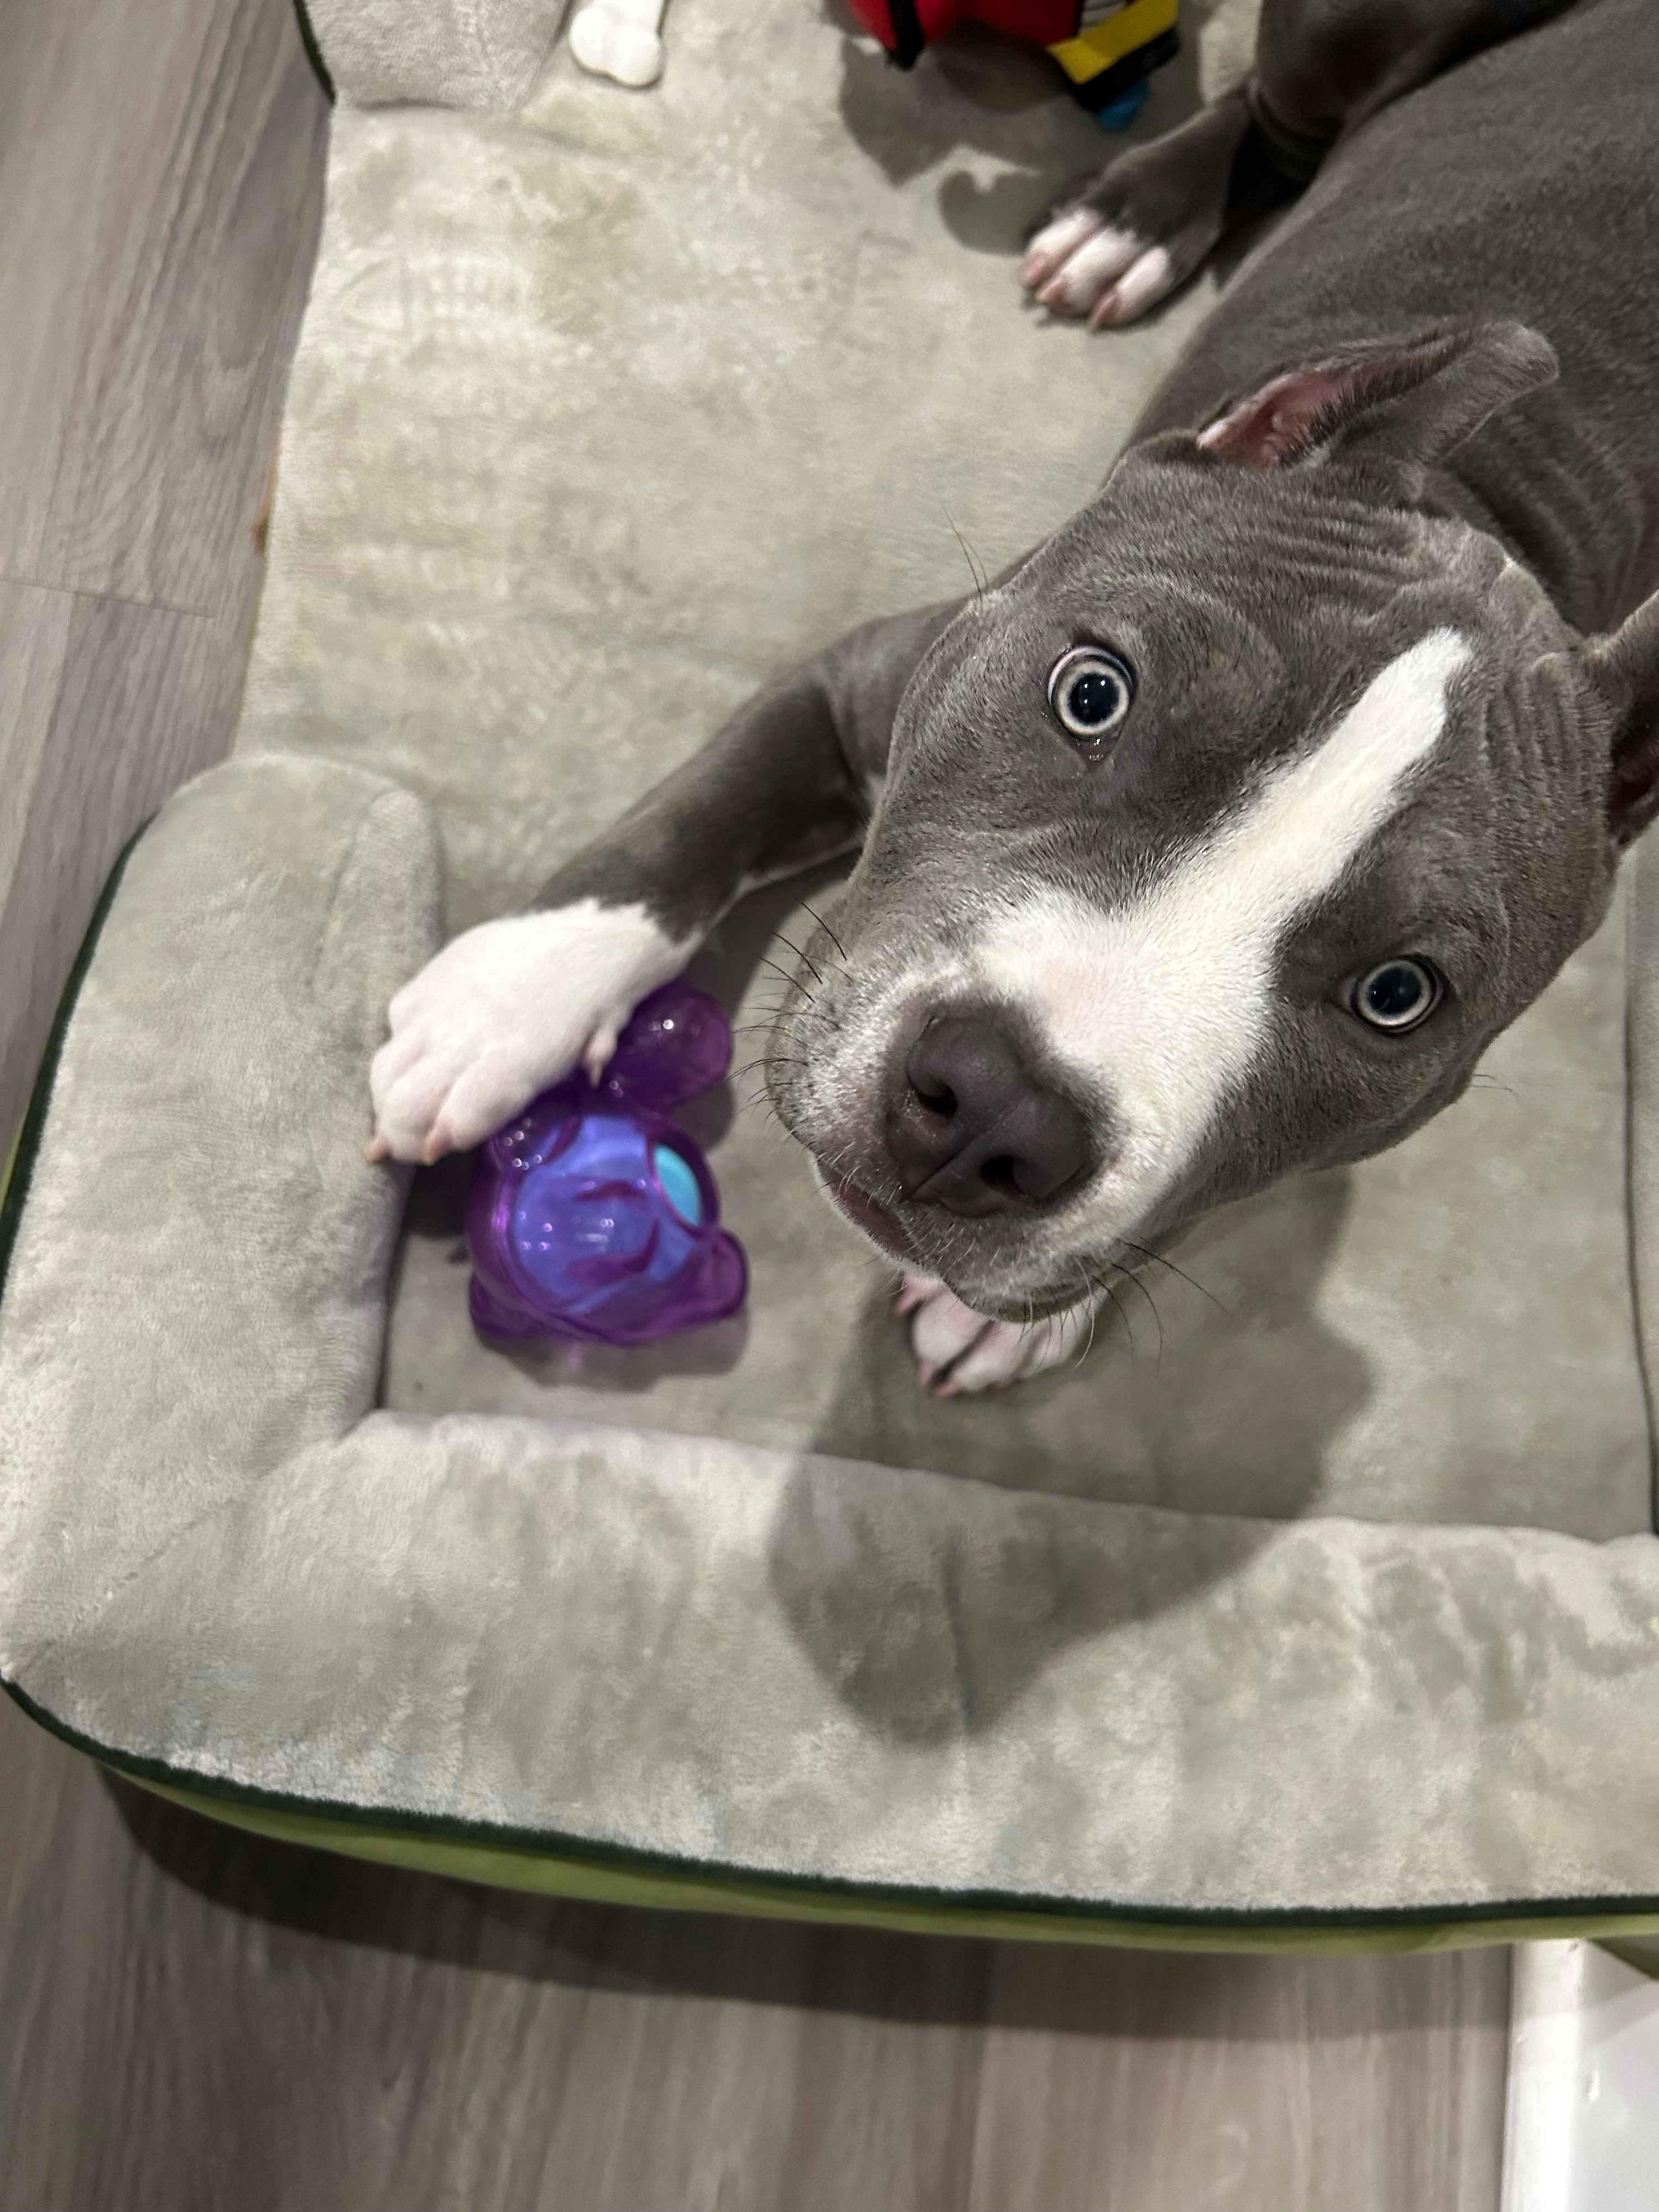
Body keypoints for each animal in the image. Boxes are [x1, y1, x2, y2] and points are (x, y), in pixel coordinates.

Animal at [369, 0, 1659, 1398]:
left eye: (1398, 995)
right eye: (1091, 692)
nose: (996, 1106)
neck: (1509, 526)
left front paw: (1021, 1314)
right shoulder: (865, 678)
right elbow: (689, 827)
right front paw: (503, 1001)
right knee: (1268, 117)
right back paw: (1130, 222)